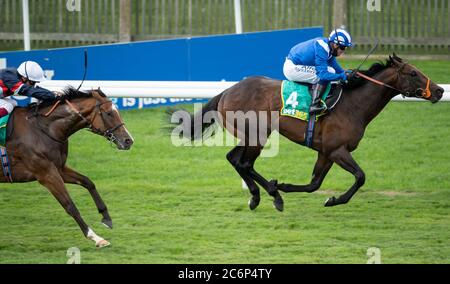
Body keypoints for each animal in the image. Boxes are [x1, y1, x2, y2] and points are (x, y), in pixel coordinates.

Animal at [0, 87, 134, 247]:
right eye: (109, 113)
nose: (128, 141)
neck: (44, 129)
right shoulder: (46, 174)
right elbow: (70, 206)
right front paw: (95, 237)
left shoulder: (59, 168)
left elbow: (88, 182)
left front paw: (106, 217)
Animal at [171, 54, 444, 212]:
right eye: (413, 73)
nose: (440, 90)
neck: (353, 105)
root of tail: (227, 91)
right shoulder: (337, 150)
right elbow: (360, 177)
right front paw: (331, 199)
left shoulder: (326, 152)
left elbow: (314, 184)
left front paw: (288, 186)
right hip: (257, 135)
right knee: (245, 163)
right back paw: (273, 196)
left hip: (251, 135)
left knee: (234, 159)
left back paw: (257, 197)